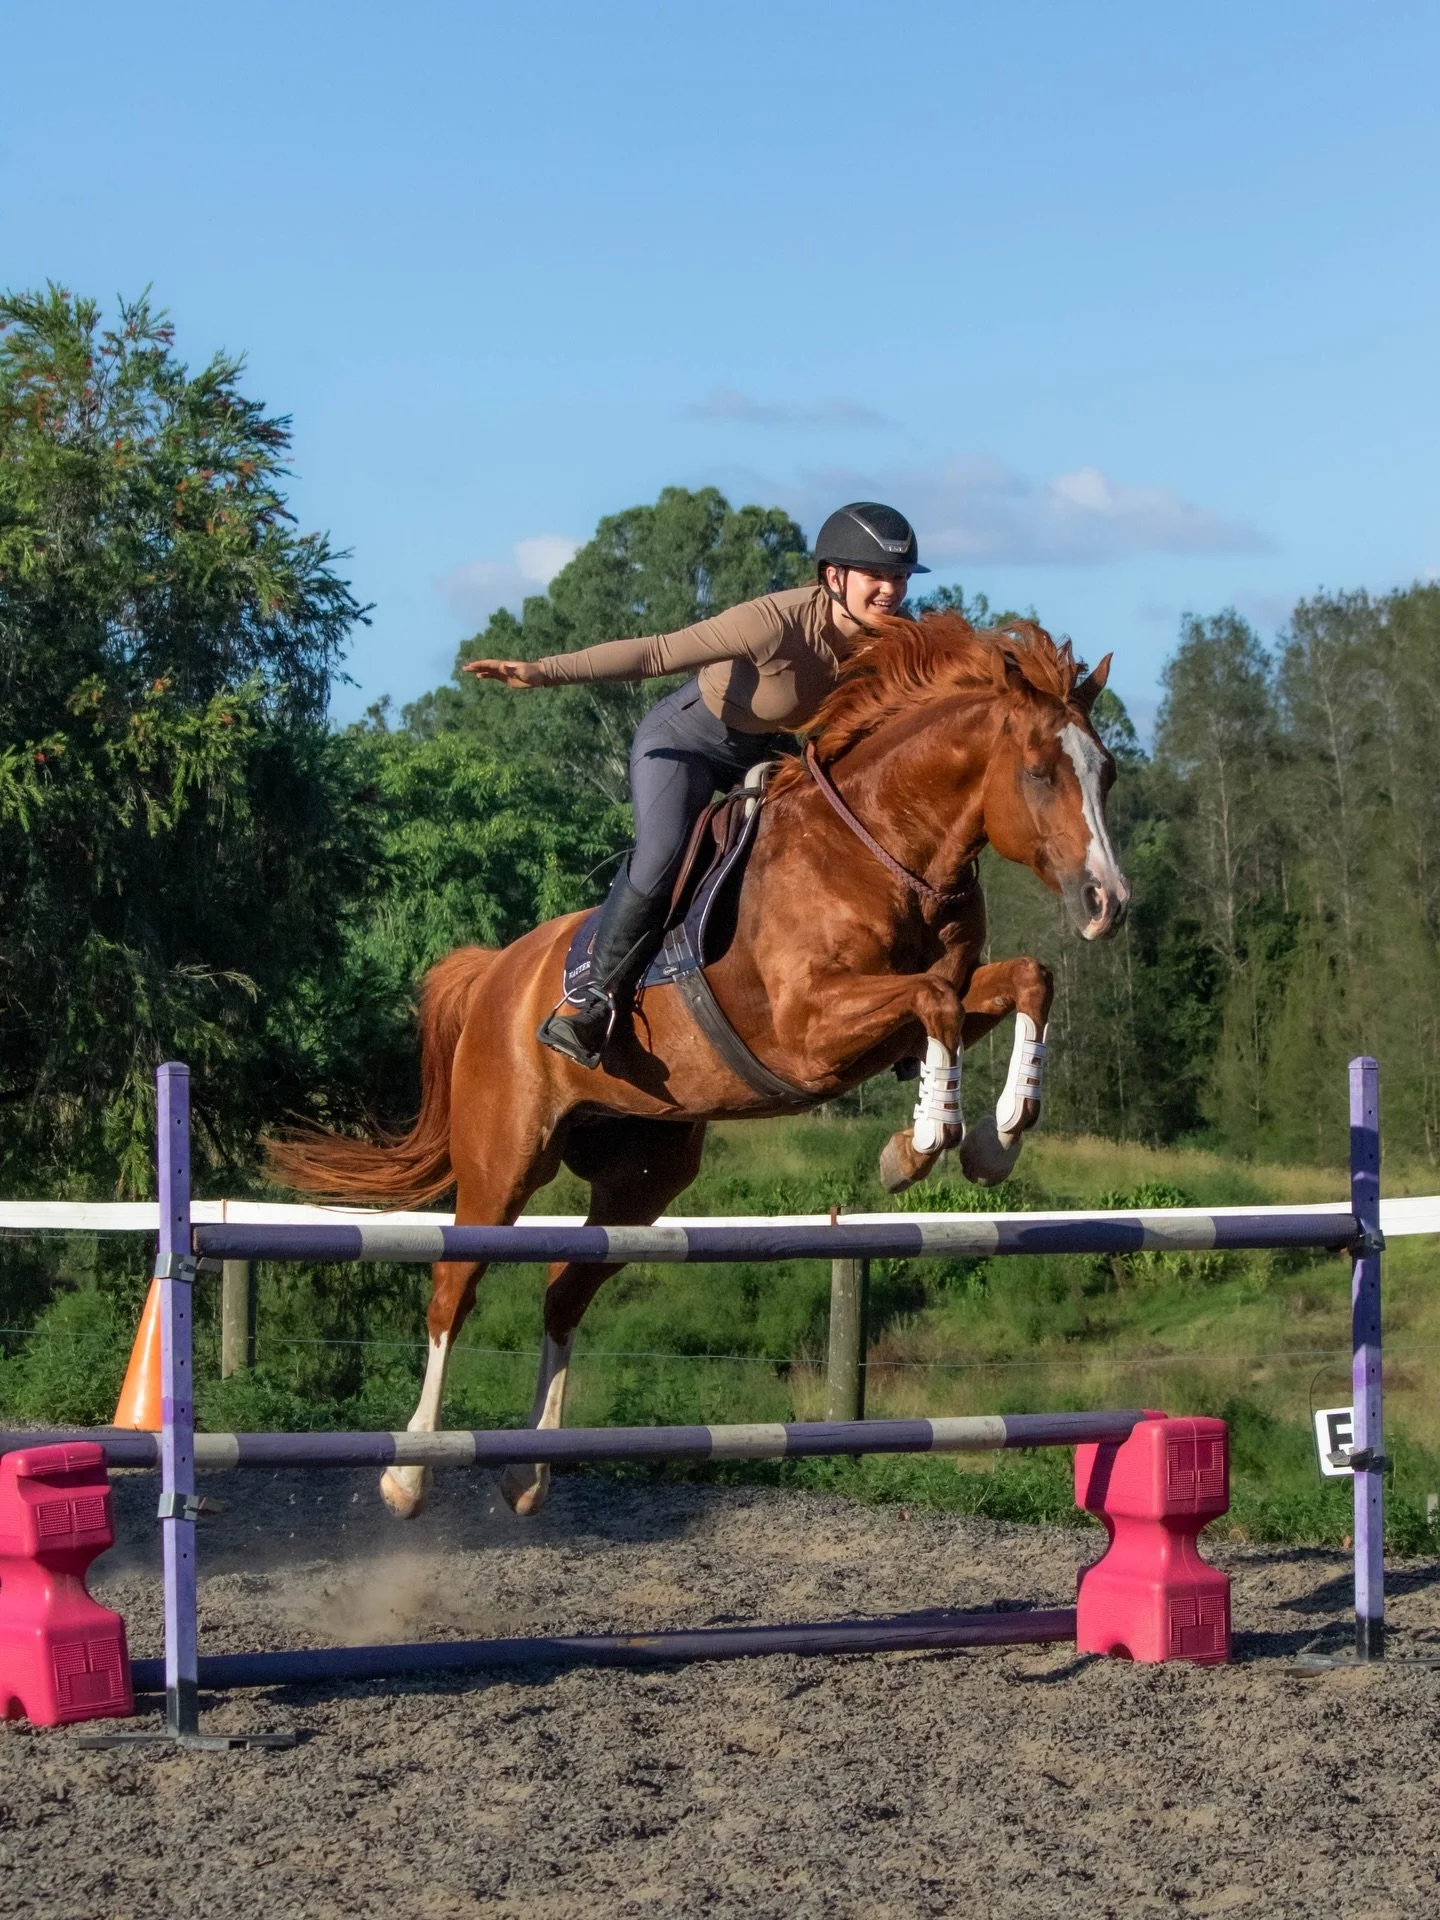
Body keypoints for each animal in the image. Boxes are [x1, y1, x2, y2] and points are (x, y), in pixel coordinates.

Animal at [269, 611, 1130, 1519]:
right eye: (1038, 770)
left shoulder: (920, 1006)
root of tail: (496, 971)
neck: (884, 849)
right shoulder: (806, 1028)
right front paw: (924, 1142)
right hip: (503, 1159)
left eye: (1106, 772)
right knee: (454, 1286)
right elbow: (934, 1000)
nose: (1108, 904)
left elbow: (1020, 981)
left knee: (563, 1291)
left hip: (642, 1177)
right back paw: (410, 1472)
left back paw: (528, 1469)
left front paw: (994, 1139)